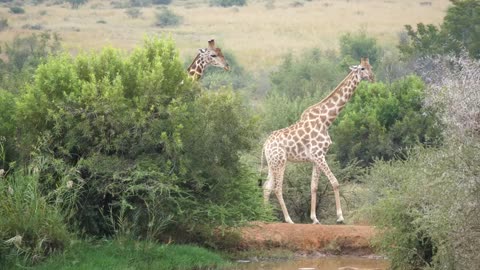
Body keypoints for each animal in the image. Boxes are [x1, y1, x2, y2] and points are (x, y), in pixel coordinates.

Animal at [262, 57, 376, 224]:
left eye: (371, 67)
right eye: (362, 68)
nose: (372, 77)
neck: (326, 121)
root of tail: (265, 145)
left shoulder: (316, 158)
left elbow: (313, 186)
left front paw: (314, 218)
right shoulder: (319, 155)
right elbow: (335, 182)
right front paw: (340, 217)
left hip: (272, 163)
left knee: (267, 187)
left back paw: (265, 217)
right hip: (280, 162)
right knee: (277, 187)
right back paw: (288, 219)